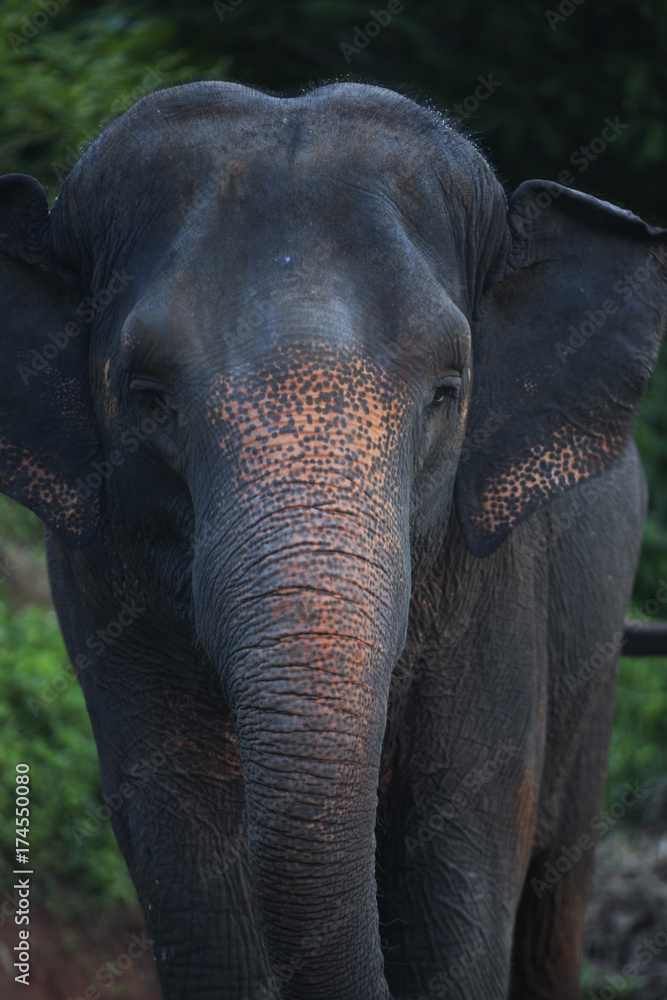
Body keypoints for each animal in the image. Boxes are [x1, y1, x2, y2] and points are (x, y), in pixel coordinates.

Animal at [0, 80, 666, 1000]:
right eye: (146, 397)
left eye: (447, 390)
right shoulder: (99, 573)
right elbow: (197, 884)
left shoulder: (494, 579)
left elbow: (454, 906)